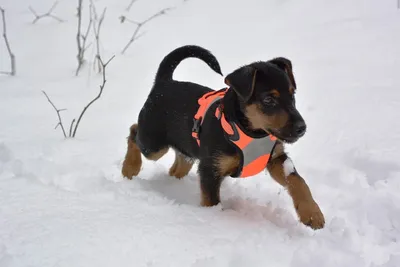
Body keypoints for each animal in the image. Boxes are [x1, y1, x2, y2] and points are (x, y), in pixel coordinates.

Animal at [122, 45, 324, 230]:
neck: (250, 132)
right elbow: (211, 201)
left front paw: (312, 214)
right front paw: (215, 220)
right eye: (268, 100)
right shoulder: (210, 169)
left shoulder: (276, 159)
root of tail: (163, 82)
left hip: (185, 148)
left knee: (178, 164)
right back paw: (129, 168)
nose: (301, 128)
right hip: (153, 144)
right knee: (134, 131)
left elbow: (298, 181)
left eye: (292, 95)